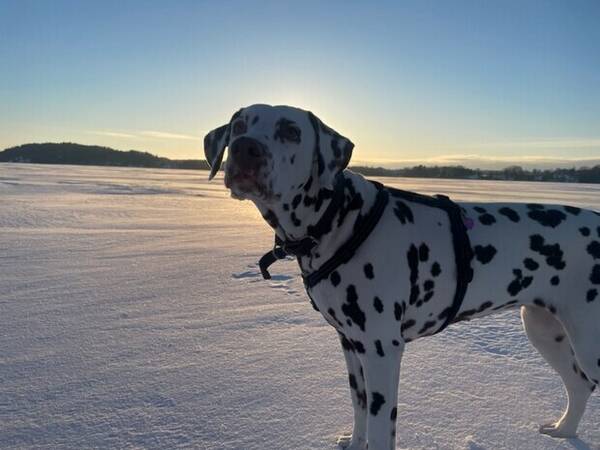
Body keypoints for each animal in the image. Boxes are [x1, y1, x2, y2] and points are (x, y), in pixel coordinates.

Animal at [205, 103, 600, 448]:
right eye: (238, 125)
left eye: (290, 130)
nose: (245, 149)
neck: (341, 218)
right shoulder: (351, 345)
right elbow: (360, 409)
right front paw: (354, 444)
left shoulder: (382, 349)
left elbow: (382, 428)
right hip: (544, 330)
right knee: (579, 384)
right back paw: (563, 432)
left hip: (586, 340)